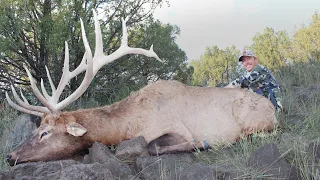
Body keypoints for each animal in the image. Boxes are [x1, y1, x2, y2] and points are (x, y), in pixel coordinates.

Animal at [4, 10, 278, 166]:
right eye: (36, 129)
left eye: (45, 133)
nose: (10, 155)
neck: (128, 124)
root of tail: (273, 108)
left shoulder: (176, 128)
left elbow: (152, 146)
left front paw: (204, 143)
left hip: (255, 120)